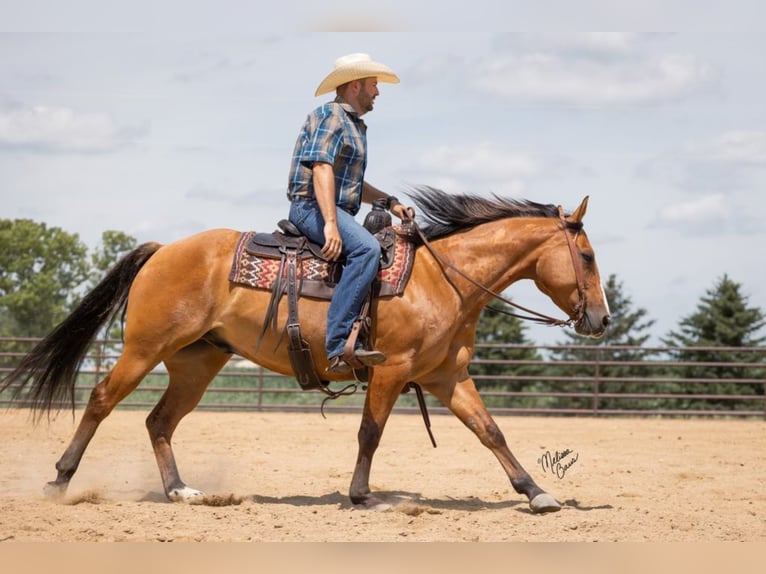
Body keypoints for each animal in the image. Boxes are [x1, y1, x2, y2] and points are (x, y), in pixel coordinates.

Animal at [0, 187, 612, 516]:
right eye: (586, 255)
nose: (602, 319)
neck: (442, 280)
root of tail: (163, 249)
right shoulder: (390, 372)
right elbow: (370, 434)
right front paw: (362, 496)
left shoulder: (446, 378)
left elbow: (492, 432)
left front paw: (537, 494)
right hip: (144, 348)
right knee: (103, 400)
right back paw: (60, 480)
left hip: (197, 362)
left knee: (159, 421)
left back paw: (180, 491)